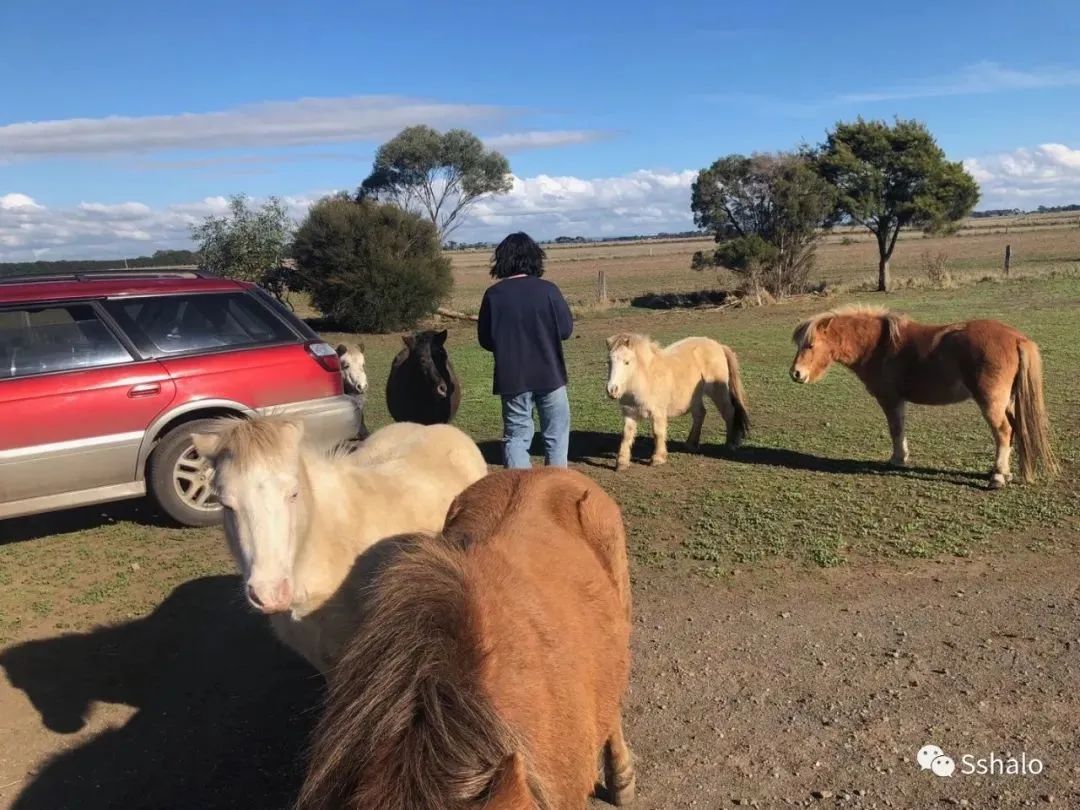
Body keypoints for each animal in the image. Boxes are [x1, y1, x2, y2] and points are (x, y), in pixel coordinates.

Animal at [609, 334, 751, 473]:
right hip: (695, 397)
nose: (612, 390)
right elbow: (626, 435)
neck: (646, 378)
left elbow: (658, 433)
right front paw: (621, 463)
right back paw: (691, 444)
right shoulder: (629, 413)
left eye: (627, 362)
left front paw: (658, 459)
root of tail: (719, 346)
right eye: (609, 362)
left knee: (728, 413)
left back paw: (730, 444)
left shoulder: (658, 412)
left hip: (718, 391)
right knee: (700, 414)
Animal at [790, 306, 1058, 488]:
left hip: (991, 403)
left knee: (1003, 432)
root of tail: (1017, 338)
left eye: (811, 345)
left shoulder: (890, 399)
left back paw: (998, 476)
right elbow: (900, 427)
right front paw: (901, 457)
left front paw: (897, 459)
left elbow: (895, 429)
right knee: (1014, 429)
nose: (795, 374)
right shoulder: (898, 401)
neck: (878, 345)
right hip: (1008, 402)